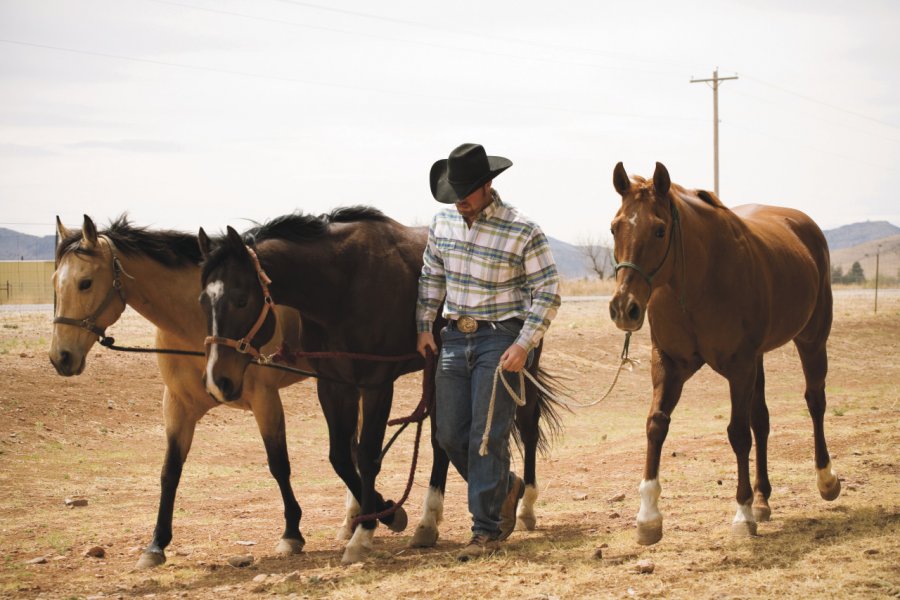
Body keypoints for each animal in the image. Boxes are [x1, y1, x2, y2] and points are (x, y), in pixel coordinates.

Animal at [50, 216, 316, 568]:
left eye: (85, 283)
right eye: (55, 282)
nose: (61, 357)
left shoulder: (265, 401)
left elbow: (279, 464)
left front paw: (291, 533)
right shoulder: (177, 406)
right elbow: (169, 472)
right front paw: (155, 545)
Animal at [200, 206, 560, 564]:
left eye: (241, 300)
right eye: (203, 301)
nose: (218, 381)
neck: (342, 287)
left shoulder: (377, 384)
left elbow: (367, 455)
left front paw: (366, 532)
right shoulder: (335, 386)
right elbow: (341, 457)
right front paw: (386, 511)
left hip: (520, 365)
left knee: (527, 426)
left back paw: (523, 506)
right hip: (438, 373)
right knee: (440, 441)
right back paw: (429, 523)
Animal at [608, 162, 840, 548]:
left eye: (659, 229)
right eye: (615, 227)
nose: (625, 308)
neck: (696, 282)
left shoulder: (739, 366)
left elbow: (738, 433)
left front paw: (742, 513)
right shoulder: (669, 364)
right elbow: (656, 425)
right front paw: (648, 517)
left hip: (811, 339)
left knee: (814, 402)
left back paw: (825, 480)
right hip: (760, 360)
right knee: (762, 420)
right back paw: (763, 499)